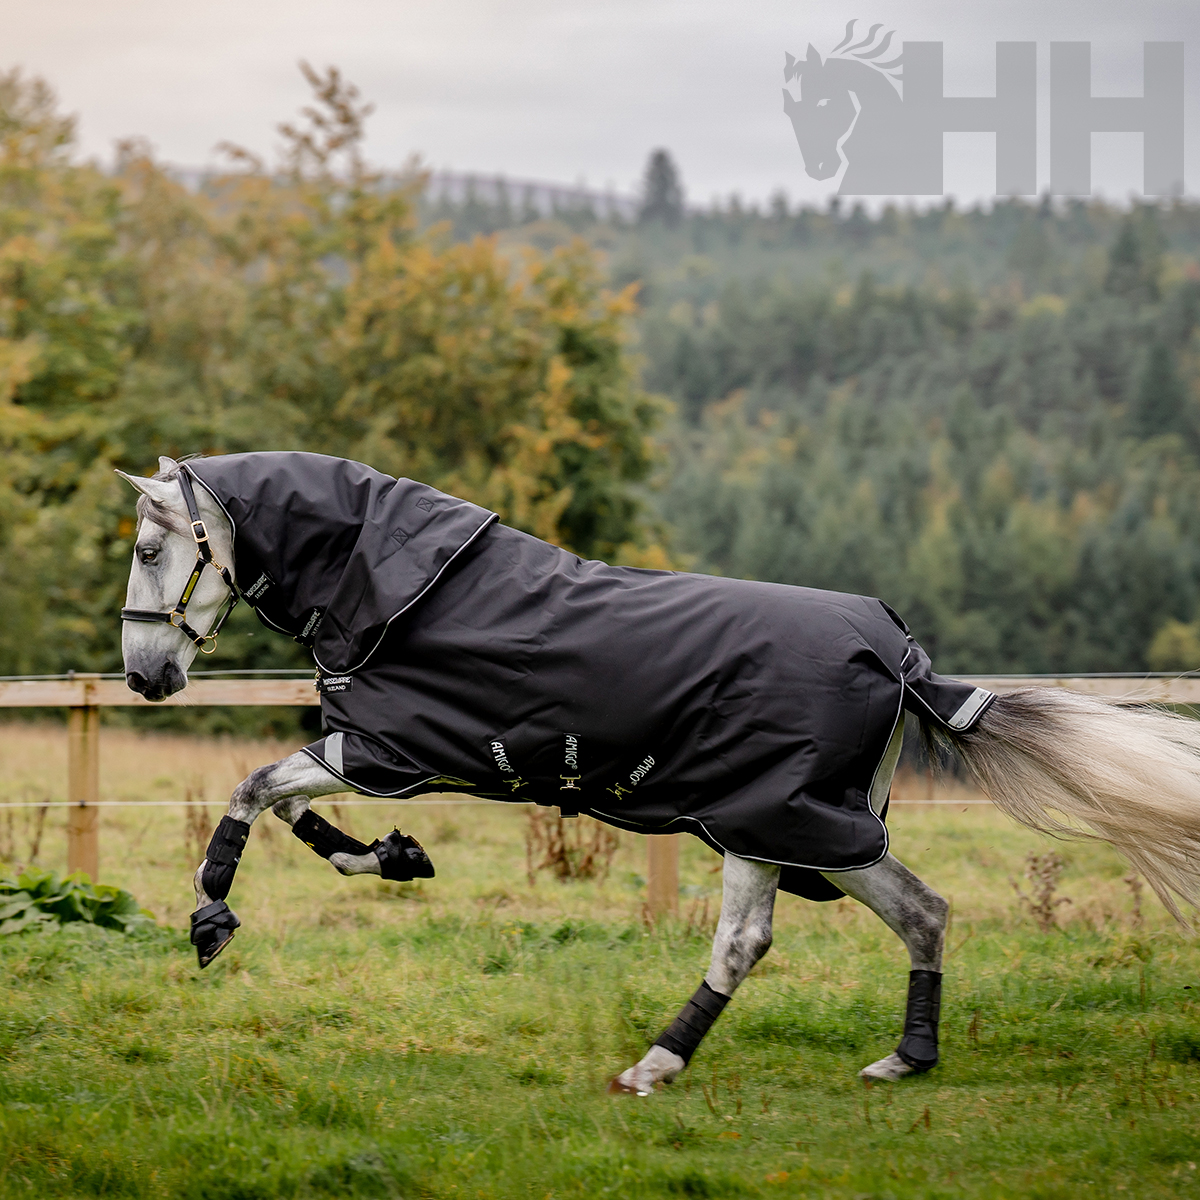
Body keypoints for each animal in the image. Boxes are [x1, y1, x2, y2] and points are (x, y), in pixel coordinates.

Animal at [119, 452, 1200, 1094]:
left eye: (149, 548)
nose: (145, 677)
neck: (404, 589)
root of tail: (901, 658)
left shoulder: (385, 750)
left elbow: (255, 788)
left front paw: (212, 917)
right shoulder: (378, 757)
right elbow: (290, 809)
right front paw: (394, 856)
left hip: (763, 822)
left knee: (745, 943)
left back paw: (656, 1064)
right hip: (818, 832)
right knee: (923, 910)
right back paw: (906, 1058)